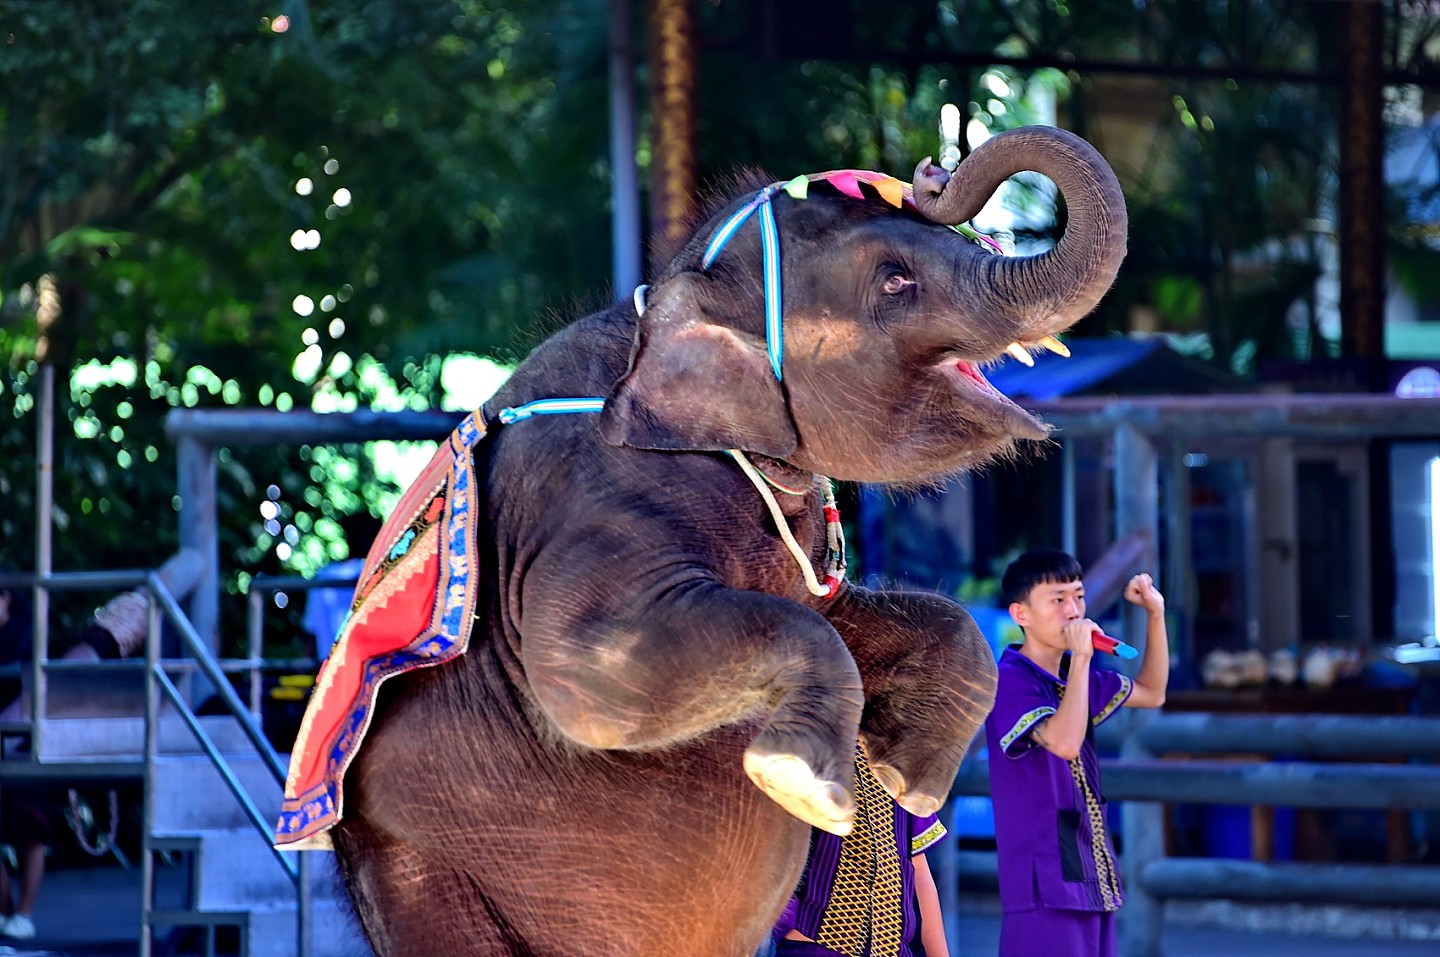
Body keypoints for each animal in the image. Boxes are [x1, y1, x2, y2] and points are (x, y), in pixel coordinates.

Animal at [324, 126, 1123, 955]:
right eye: (895, 280)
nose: (934, 171)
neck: (664, 306)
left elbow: (868, 618)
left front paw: (910, 779)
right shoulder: (581, 504)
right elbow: (587, 674)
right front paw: (802, 784)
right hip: (423, 869)